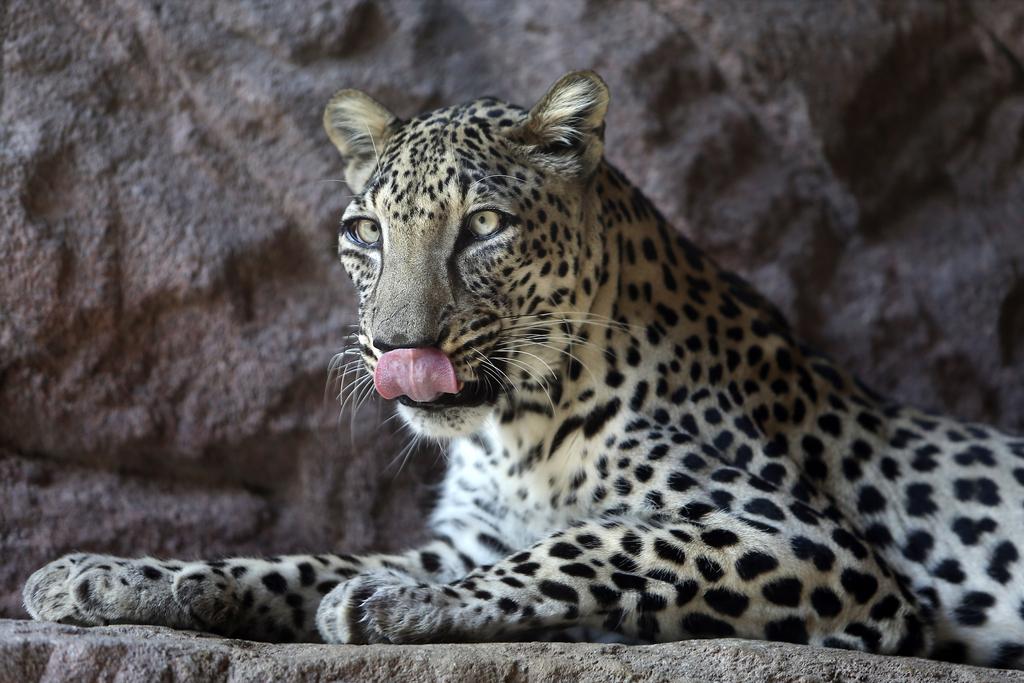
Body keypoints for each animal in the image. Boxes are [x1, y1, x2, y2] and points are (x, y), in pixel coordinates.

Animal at [23, 70, 1024, 669]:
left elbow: (596, 542)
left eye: (484, 227)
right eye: (365, 232)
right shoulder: (466, 535)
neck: (518, 426)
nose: (397, 348)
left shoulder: (806, 538)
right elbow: (295, 560)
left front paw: (396, 602)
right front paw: (106, 576)